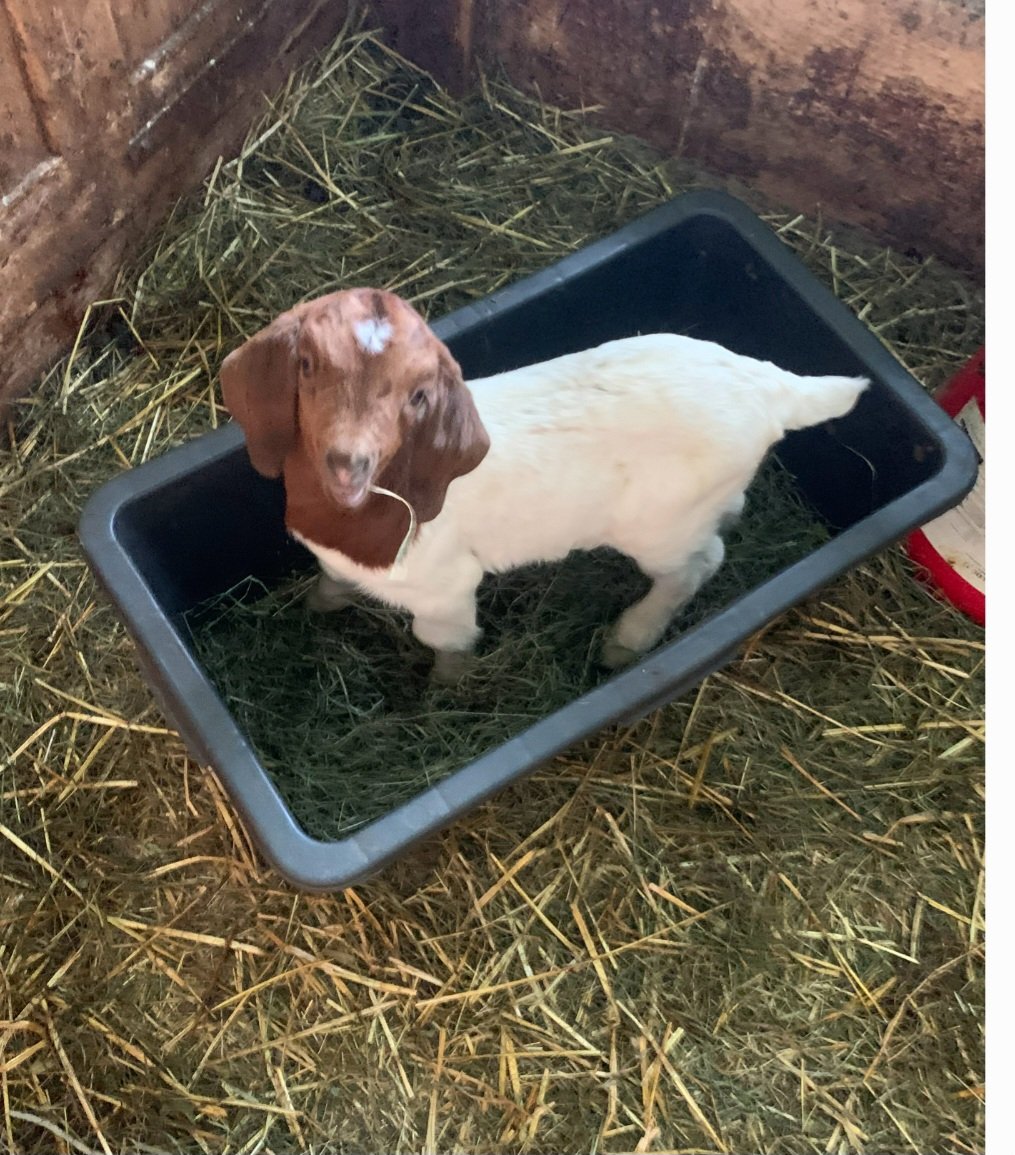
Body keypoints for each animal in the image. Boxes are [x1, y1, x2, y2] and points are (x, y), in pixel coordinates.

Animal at [220, 287, 868, 683]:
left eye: (419, 395)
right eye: (307, 366)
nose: (348, 463)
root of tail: (768, 386)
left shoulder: (445, 587)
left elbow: (448, 641)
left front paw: (444, 692)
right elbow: (330, 581)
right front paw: (314, 607)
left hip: (659, 526)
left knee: (698, 565)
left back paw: (626, 641)